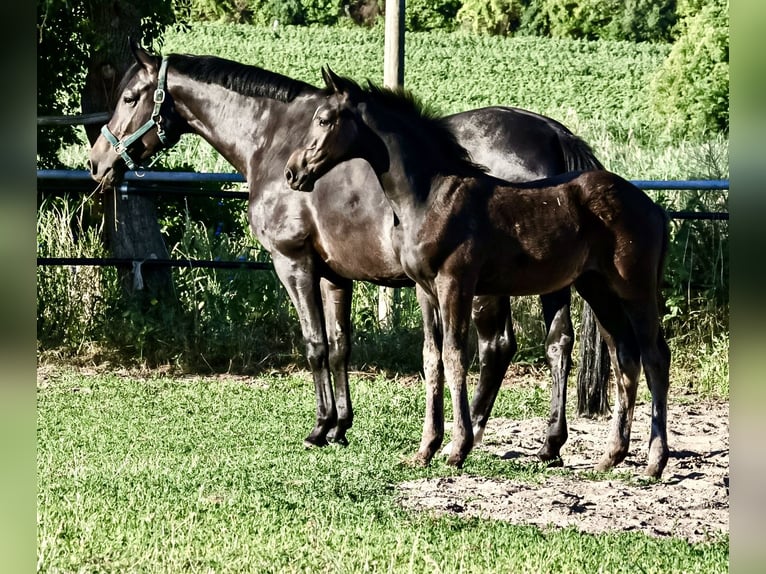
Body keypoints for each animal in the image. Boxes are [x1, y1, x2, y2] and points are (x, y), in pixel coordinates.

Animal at [89, 41, 605, 463]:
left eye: (130, 98)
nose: (96, 162)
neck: (272, 139)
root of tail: (554, 135)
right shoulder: (335, 274)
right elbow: (339, 345)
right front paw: (340, 426)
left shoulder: (293, 263)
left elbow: (315, 344)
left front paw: (320, 428)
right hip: (548, 281)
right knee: (557, 343)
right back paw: (547, 443)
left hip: (489, 288)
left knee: (496, 347)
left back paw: (473, 434)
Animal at [284, 68, 671, 479]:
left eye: (324, 120)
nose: (293, 172)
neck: (430, 196)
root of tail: (652, 207)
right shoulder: (425, 290)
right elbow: (431, 358)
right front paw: (425, 449)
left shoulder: (455, 283)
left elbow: (455, 356)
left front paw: (457, 449)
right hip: (597, 289)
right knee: (624, 355)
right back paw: (611, 456)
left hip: (635, 290)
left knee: (654, 356)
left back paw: (654, 462)